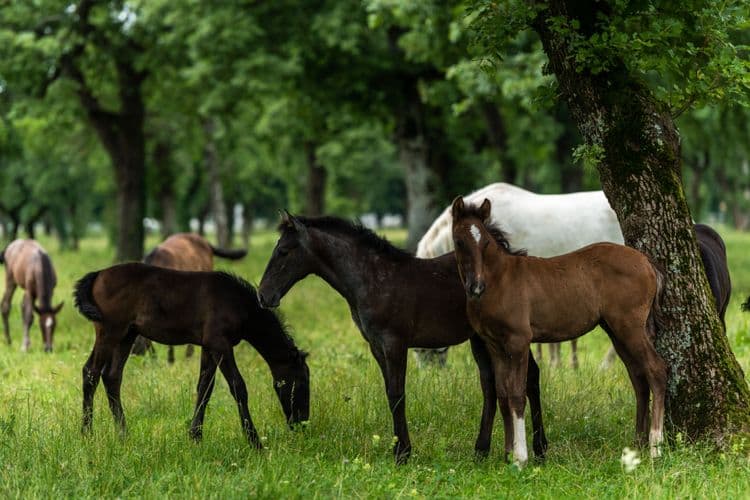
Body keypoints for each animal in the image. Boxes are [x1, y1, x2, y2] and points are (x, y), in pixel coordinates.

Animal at [74, 263, 309, 446]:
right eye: (302, 381)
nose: (302, 423)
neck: (236, 302)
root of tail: (98, 274)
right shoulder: (220, 344)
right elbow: (238, 386)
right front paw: (254, 440)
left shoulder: (209, 346)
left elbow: (205, 387)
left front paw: (195, 436)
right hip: (109, 331)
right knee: (91, 372)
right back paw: (87, 434)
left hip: (127, 335)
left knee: (112, 376)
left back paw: (123, 434)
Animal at [257, 211, 548, 464]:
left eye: (283, 251)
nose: (263, 295)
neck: (374, 279)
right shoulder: (376, 346)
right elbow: (390, 393)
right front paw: (399, 448)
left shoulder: (394, 343)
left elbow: (397, 394)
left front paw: (402, 453)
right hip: (481, 339)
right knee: (490, 384)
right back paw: (481, 450)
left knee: (529, 377)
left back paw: (540, 448)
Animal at [451, 197, 667, 466]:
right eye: (459, 242)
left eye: (486, 243)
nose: (476, 287)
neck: (500, 280)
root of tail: (647, 262)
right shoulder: (495, 345)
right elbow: (502, 394)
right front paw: (508, 453)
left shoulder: (518, 342)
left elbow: (517, 394)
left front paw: (520, 457)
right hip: (616, 330)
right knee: (639, 379)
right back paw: (637, 446)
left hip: (630, 327)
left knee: (656, 370)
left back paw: (655, 447)